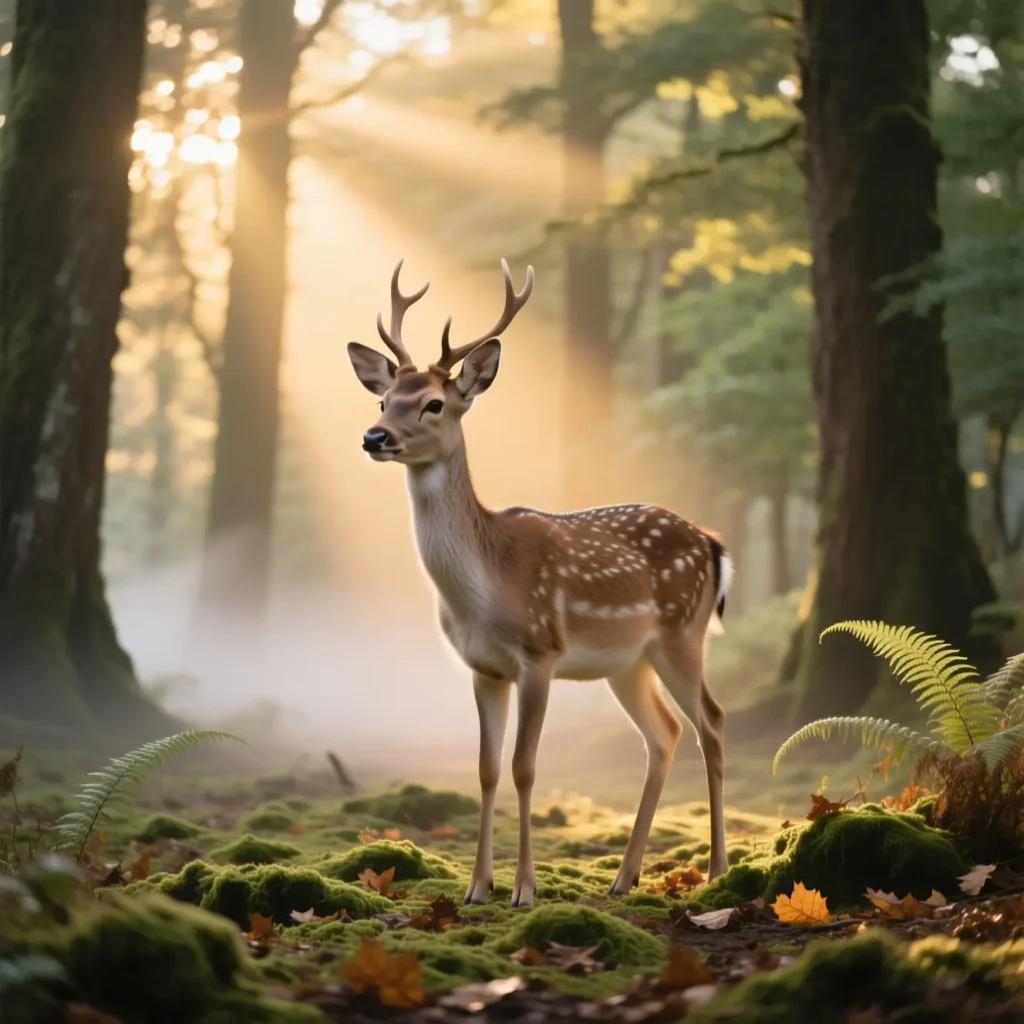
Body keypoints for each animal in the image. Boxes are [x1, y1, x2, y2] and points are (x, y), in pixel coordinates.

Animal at [346, 259, 733, 907]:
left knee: (712, 722)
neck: (482, 592)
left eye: (433, 404)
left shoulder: (540, 652)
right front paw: (477, 887)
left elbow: (525, 767)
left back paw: (717, 872)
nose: (374, 438)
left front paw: (524, 889)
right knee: (665, 733)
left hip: (683, 633)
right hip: (629, 661)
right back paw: (624, 877)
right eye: (383, 398)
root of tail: (711, 542)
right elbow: (485, 769)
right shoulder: (483, 667)